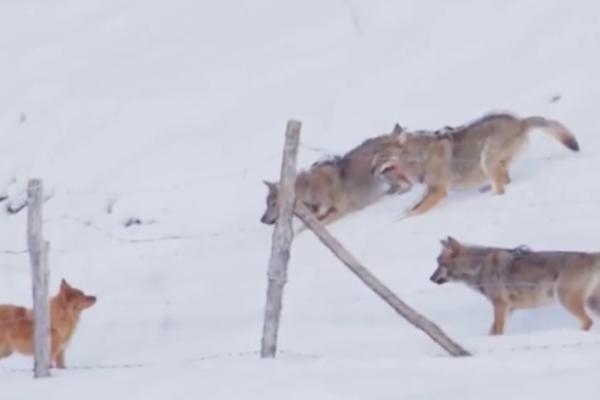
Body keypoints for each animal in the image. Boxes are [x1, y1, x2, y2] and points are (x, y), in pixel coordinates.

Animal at [260, 132, 410, 228]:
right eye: (266, 204)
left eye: (273, 203)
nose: (262, 220)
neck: (310, 191)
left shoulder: (339, 212)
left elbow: (304, 230)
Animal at [370, 112, 576, 219]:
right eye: (372, 157)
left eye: (381, 156)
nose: (371, 171)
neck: (418, 157)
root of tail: (520, 121)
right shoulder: (429, 189)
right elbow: (411, 208)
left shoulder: (438, 191)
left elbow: (415, 211)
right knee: (505, 179)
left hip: (487, 159)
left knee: (501, 188)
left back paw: (490, 197)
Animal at [428, 236, 600, 336]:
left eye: (439, 263)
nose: (430, 278)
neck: (478, 266)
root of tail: (590, 255)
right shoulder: (509, 308)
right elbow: (492, 331)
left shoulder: (500, 305)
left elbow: (498, 330)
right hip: (590, 303)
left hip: (566, 300)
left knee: (588, 322)